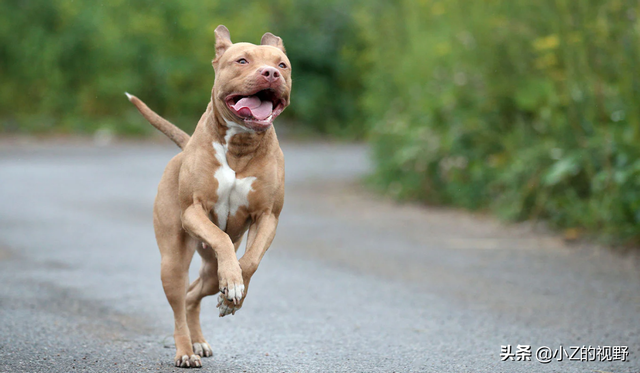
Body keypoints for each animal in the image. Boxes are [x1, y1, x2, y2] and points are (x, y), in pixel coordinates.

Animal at [124, 25, 292, 366]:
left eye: (282, 65)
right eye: (242, 60)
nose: (269, 73)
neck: (240, 144)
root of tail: (184, 146)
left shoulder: (268, 217)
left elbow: (249, 262)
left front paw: (234, 296)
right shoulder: (193, 212)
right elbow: (221, 237)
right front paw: (234, 286)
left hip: (209, 271)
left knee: (194, 293)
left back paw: (200, 338)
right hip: (173, 261)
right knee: (179, 301)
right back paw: (186, 351)